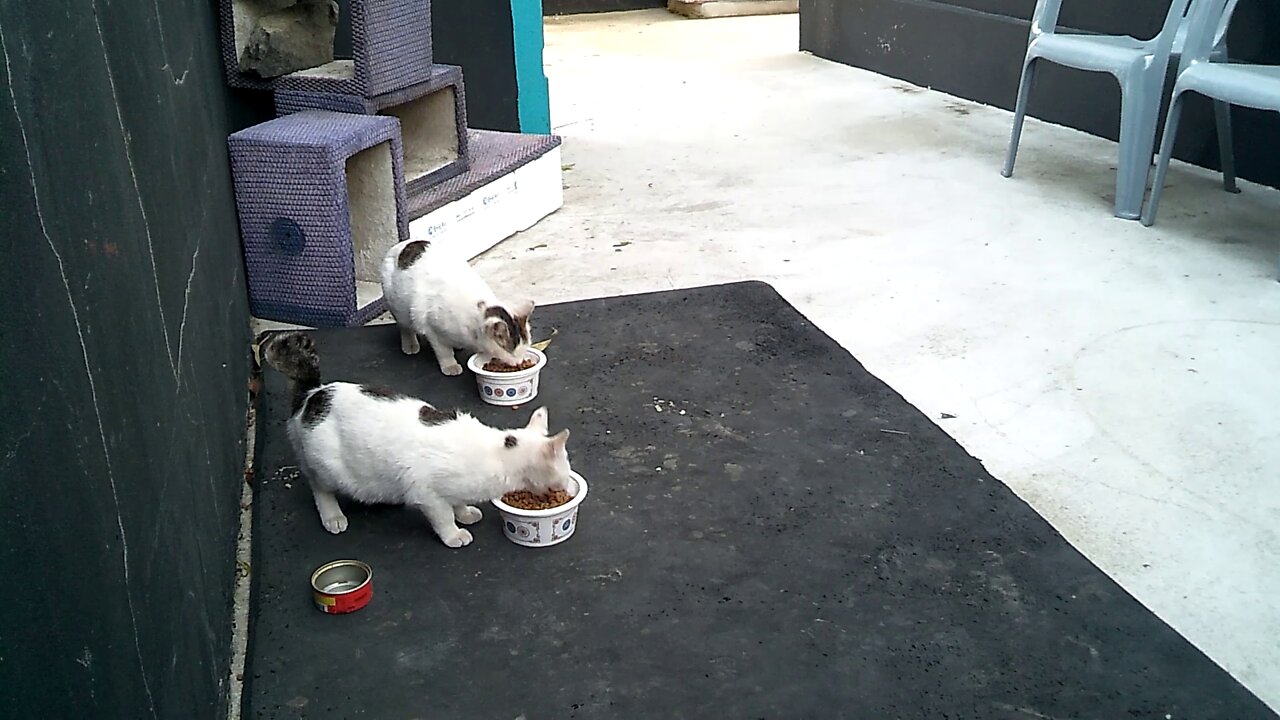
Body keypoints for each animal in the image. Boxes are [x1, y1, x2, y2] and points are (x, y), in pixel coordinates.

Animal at [257, 330, 573, 543]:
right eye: (565, 469)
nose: (570, 486)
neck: (496, 456)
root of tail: (312, 395)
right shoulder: (427, 494)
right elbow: (443, 517)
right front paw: (454, 534)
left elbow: (457, 503)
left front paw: (465, 513)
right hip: (327, 468)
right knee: (319, 488)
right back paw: (333, 517)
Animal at [381, 240, 537, 376]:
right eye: (512, 352)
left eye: (525, 348)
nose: (519, 362)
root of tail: (400, 245)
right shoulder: (432, 329)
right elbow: (444, 351)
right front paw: (450, 366)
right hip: (398, 308)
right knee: (405, 327)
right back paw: (410, 346)